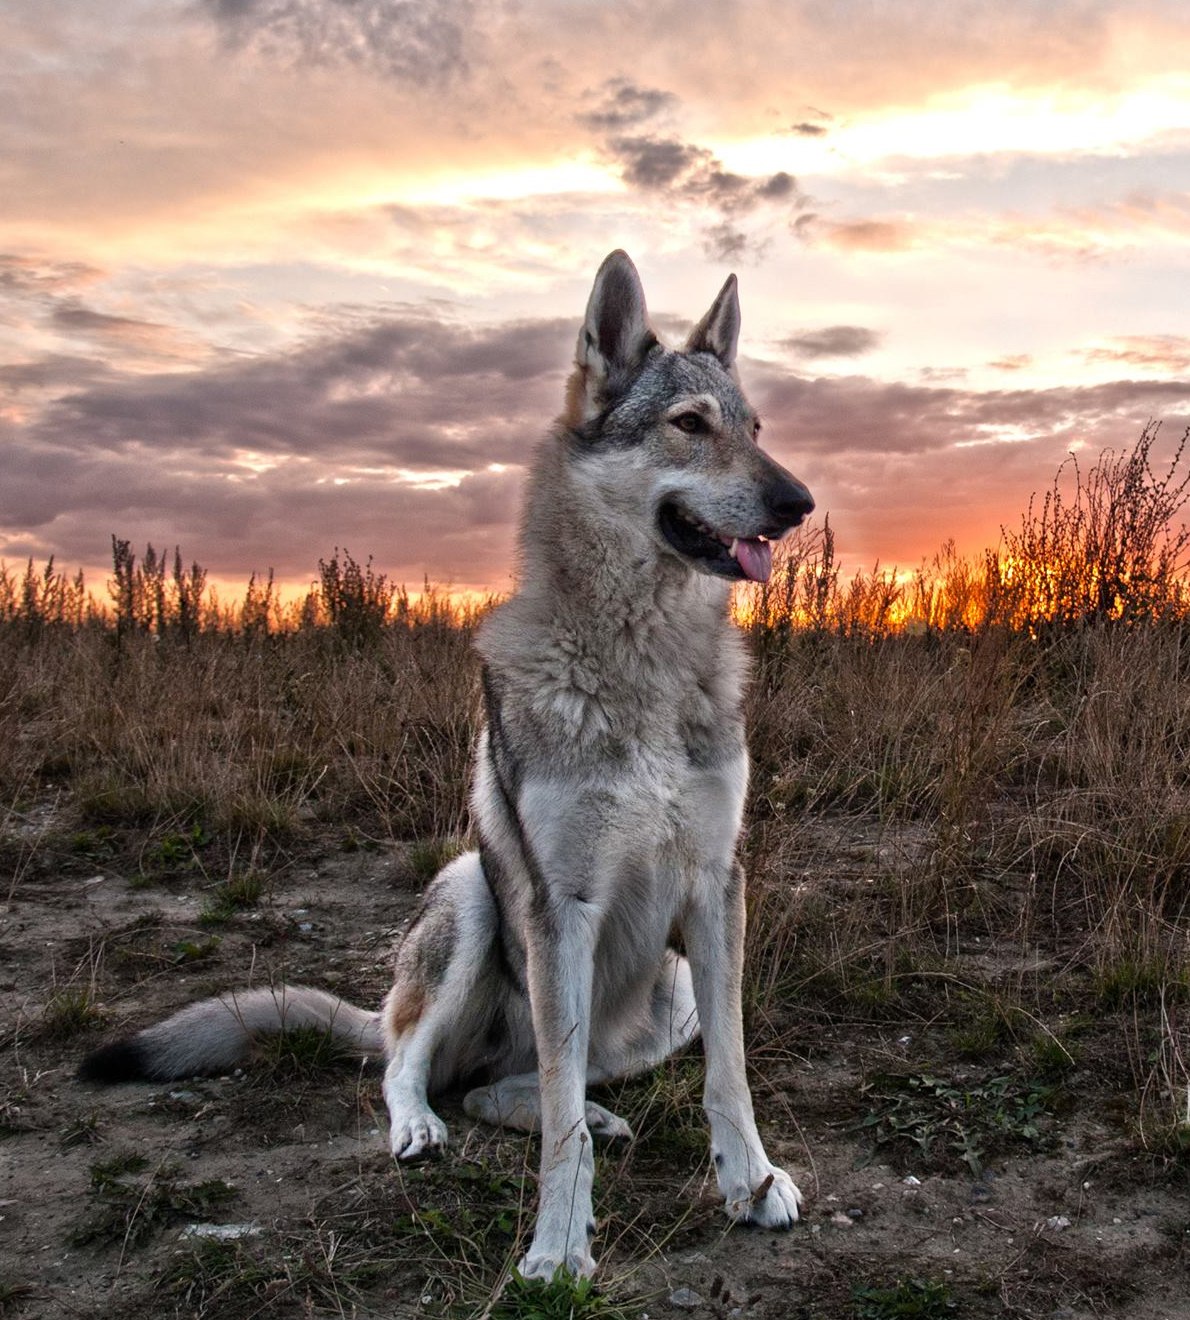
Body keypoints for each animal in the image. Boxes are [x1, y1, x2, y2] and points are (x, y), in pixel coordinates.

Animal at [79, 249, 812, 1277]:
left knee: (510, 1085)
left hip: (662, 998)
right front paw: (558, 1248)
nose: (800, 503)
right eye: (690, 425)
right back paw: (422, 1127)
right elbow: (558, 1125)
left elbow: (728, 1077)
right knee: (415, 1068)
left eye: (754, 430)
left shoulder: (716, 884)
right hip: (471, 897)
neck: (644, 659)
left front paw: (750, 1184)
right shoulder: (560, 906)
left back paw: (588, 1110)